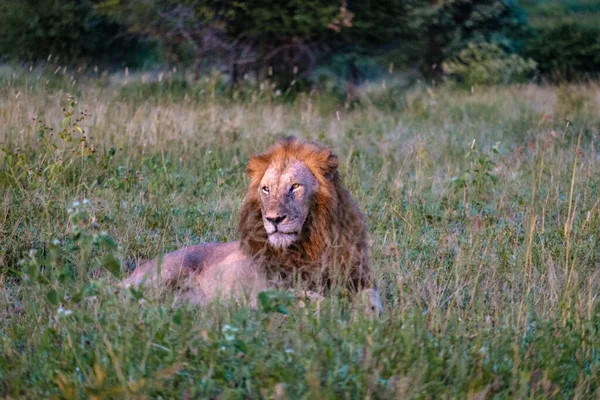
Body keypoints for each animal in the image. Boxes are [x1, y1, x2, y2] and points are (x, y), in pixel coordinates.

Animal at [122, 136, 382, 310]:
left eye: (295, 186)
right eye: (266, 189)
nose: (274, 219)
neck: (311, 243)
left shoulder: (358, 277)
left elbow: (373, 299)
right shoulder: (272, 289)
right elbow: (312, 299)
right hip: (163, 273)